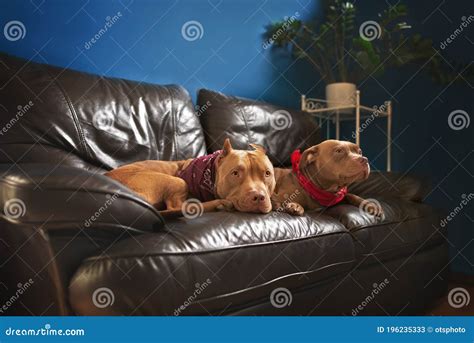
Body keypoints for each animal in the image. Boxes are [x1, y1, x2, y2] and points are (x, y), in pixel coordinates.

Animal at [103, 138, 274, 216]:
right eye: (235, 173)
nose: (259, 197)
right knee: (180, 208)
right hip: (177, 181)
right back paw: (219, 204)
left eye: (267, 173)